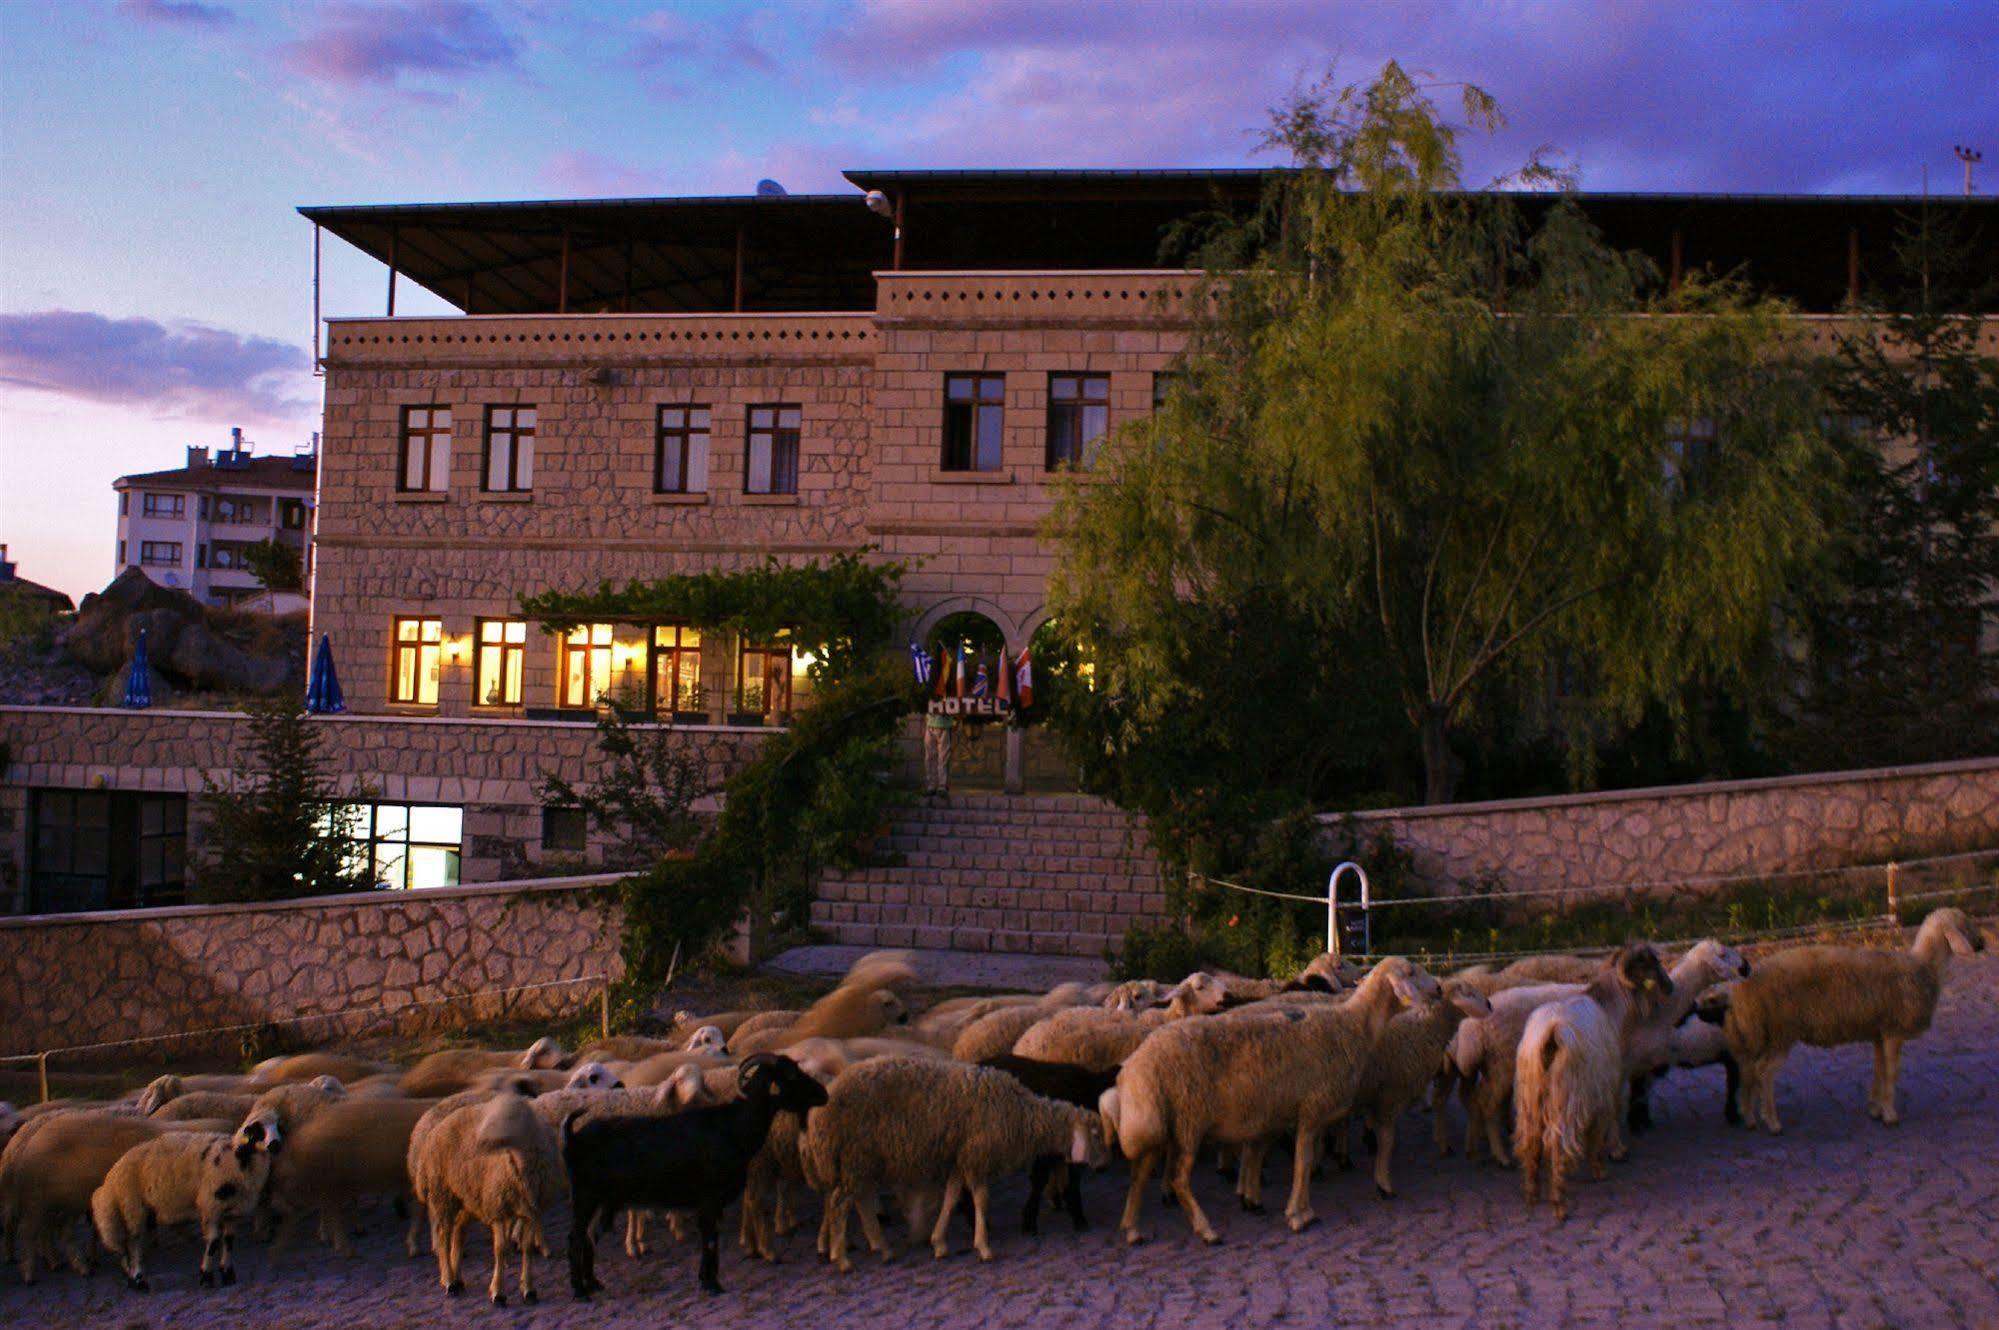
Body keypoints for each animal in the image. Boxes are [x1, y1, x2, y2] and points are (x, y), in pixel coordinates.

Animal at [1719, 904, 1983, 1128]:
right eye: (1966, 925)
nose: (1981, 944)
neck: (1924, 967)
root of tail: (1742, 990)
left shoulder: (1879, 1032)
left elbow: (1879, 1071)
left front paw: (1875, 1109)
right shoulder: (1894, 1031)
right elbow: (1892, 1073)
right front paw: (1890, 1114)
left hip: (1759, 1035)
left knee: (1748, 1071)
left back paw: (1749, 1116)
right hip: (1781, 1033)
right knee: (1763, 1072)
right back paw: (1772, 1121)